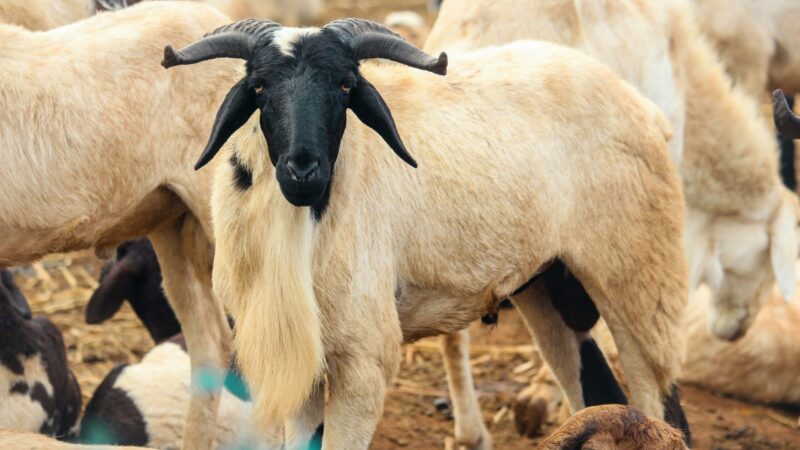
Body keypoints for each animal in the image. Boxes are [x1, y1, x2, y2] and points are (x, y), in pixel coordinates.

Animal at [162, 17, 690, 448]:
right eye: (258, 87)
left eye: (346, 85)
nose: (303, 170)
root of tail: (642, 105)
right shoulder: (301, 359)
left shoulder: (364, 359)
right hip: (550, 284)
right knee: (596, 389)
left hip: (639, 278)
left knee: (662, 406)